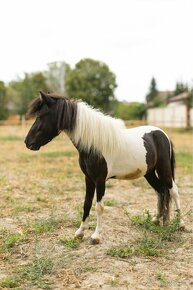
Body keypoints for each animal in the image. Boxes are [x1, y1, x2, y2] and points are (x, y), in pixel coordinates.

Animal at [24, 91, 184, 245]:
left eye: (41, 116)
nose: (27, 142)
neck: (93, 145)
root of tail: (162, 134)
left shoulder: (100, 180)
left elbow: (99, 207)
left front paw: (96, 236)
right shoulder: (88, 179)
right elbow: (86, 204)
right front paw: (80, 232)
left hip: (164, 170)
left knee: (173, 191)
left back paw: (181, 224)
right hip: (149, 173)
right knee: (161, 191)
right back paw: (158, 220)